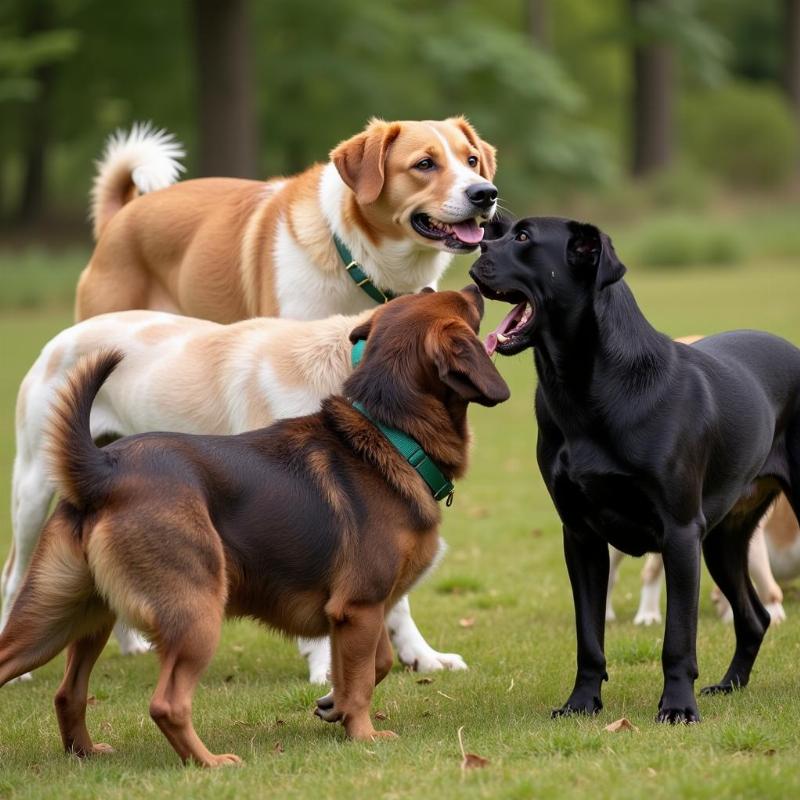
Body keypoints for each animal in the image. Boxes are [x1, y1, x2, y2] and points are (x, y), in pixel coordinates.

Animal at [0, 286, 510, 764]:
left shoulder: (354, 614)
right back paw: (209, 763)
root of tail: (103, 470)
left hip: (67, 615)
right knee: (167, 704)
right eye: (462, 307)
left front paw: (333, 704)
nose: (475, 284)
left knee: (63, 690)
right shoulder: (360, 607)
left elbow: (373, 665)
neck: (390, 433)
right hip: (194, 615)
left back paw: (85, 751)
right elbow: (365, 677)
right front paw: (364, 734)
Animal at [472, 216, 800, 720]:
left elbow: (677, 639)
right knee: (756, 618)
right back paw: (730, 685)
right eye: (501, 232)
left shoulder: (680, 533)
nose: (475, 251)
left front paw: (678, 708)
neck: (586, 385)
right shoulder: (581, 536)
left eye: (524, 239)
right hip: (723, 540)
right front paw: (582, 702)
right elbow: (589, 637)